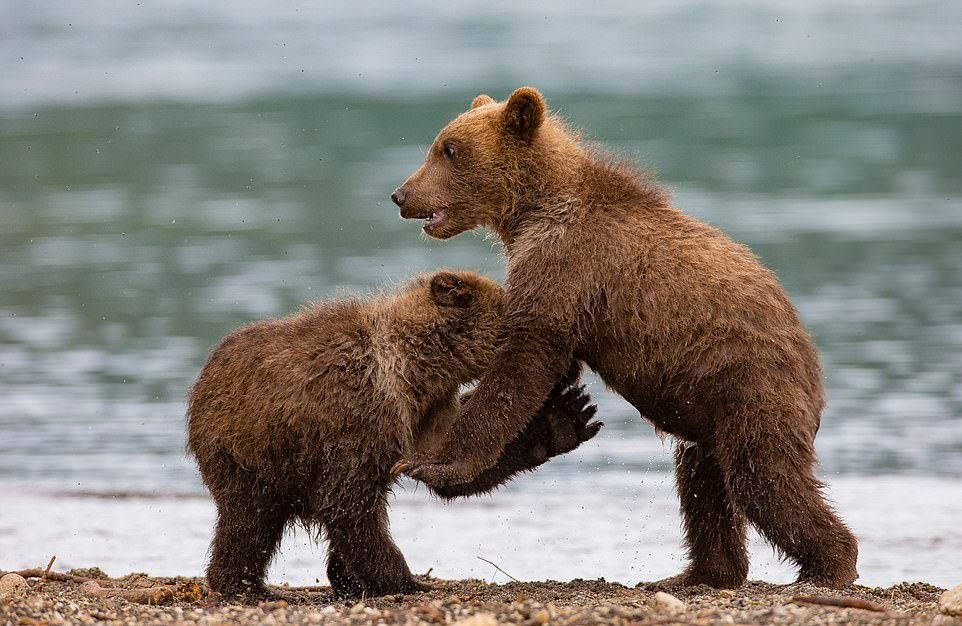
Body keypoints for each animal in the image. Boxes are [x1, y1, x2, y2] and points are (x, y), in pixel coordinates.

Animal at [186, 270, 600, 600]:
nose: (573, 363)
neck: (419, 369)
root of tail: (204, 377)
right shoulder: (358, 411)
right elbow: (349, 503)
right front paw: (407, 580)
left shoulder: (424, 413)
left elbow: (446, 462)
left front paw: (562, 420)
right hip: (250, 452)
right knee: (250, 521)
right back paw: (249, 587)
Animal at [390, 89, 856, 588]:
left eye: (449, 150)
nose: (401, 194)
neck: (530, 211)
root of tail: (813, 366)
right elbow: (550, 371)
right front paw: (551, 426)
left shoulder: (566, 268)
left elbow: (523, 364)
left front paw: (435, 464)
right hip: (709, 407)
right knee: (702, 482)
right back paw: (698, 573)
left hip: (753, 387)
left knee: (765, 479)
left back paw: (827, 566)